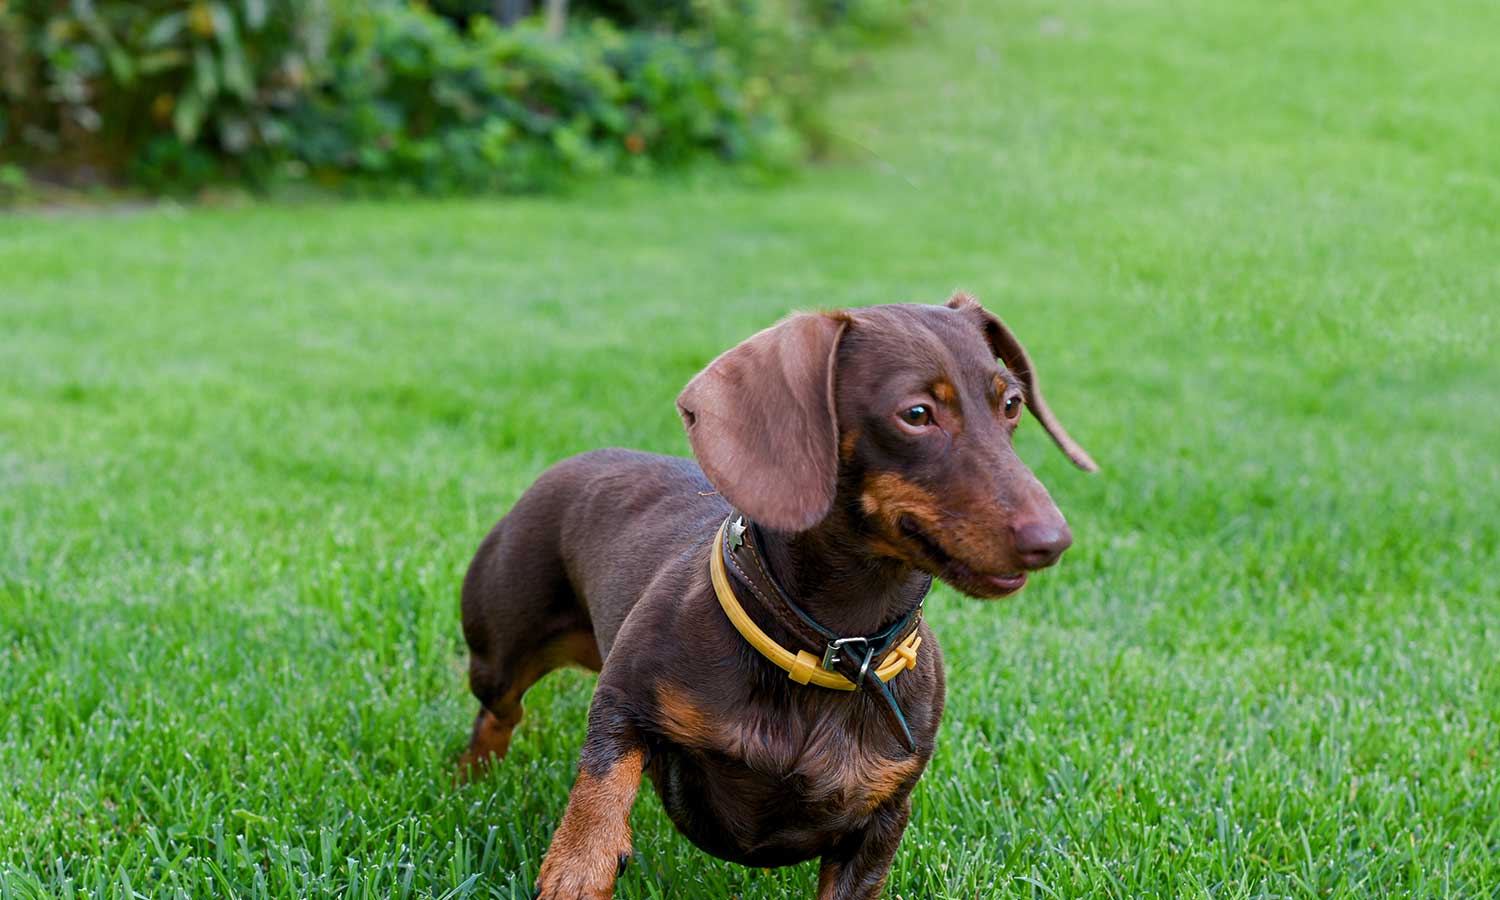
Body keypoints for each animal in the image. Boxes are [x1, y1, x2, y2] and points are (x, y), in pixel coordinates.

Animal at [456, 295, 1092, 900]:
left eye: (1011, 404)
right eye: (916, 414)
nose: (1054, 541)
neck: (829, 648)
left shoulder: (882, 820)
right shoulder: (624, 696)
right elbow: (604, 778)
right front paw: (579, 867)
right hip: (499, 656)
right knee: (499, 712)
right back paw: (471, 779)